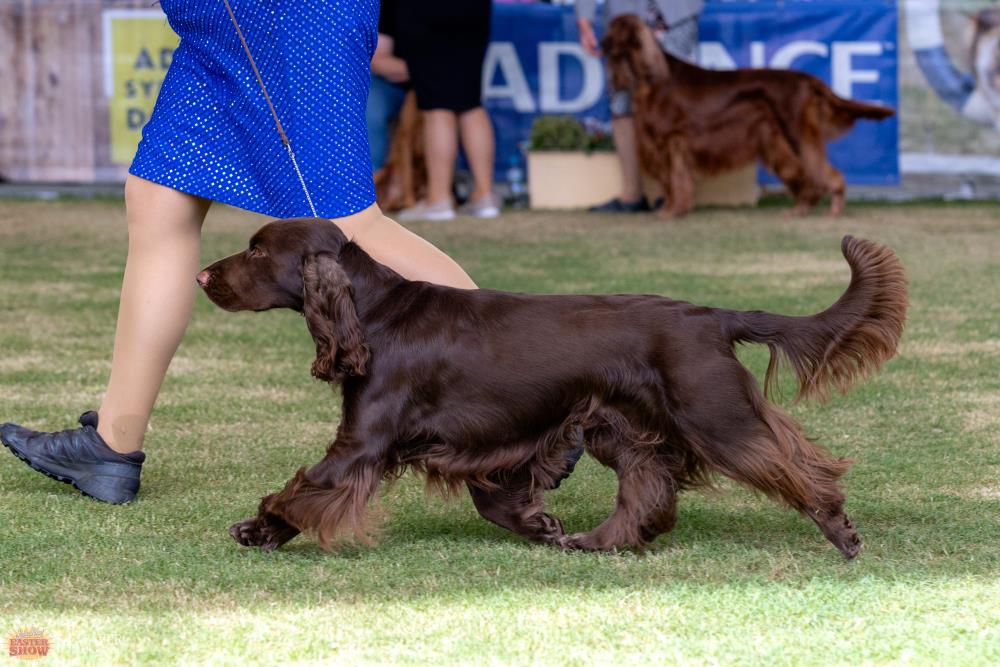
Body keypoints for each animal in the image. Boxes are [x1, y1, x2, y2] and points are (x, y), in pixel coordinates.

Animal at [198, 219, 907, 557]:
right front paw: (540, 523)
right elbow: (495, 498)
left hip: (713, 414)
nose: (203, 276)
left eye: (257, 251)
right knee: (649, 488)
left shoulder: (362, 442)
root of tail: (712, 314)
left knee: (793, 463)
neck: (373, 311)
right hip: (623, 424)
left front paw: (259, 529)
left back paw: (840, 530)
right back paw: (596, 542)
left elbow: (300, 490)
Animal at [602, 15, 896, 218]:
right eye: (610, 27)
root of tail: (807, 79)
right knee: (806, 176)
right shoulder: (664, 144)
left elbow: (675, 179)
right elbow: (670, 181)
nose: (601, 43)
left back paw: (833, 209)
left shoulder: (672, 140)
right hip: (779, 141)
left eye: (618, 28)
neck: (653, 78)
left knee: (823, 173)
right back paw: (800, 209)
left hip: (795, 135)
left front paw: (673, 211)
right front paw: (674, 209)